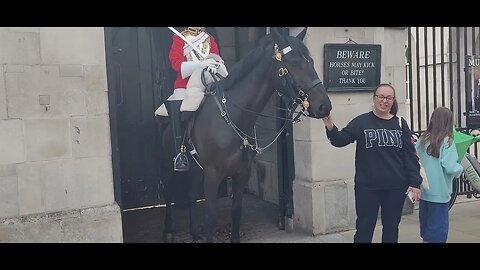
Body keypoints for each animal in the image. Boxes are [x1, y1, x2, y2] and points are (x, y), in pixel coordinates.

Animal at [156, 27, 332, 243]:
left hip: (197, 168)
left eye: (312, 61)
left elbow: (236, 211)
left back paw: (194, 233)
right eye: (293, 62)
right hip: (168, 163)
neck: (233, 116)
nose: (324, 106)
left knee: (190, 196)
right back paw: (168, 230)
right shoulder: (213, 174)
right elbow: (211, 216)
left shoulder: (242, 172)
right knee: (168, 192)